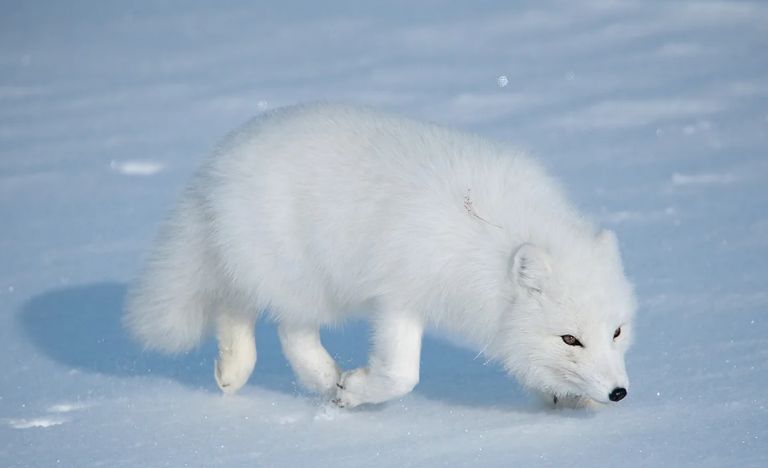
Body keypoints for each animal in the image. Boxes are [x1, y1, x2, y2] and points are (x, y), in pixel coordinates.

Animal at [124, 101, 636, 406]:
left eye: (616, 331)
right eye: (570, 339)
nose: (618, 393)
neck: (492, 236)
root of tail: (216, 165)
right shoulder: (400, 295)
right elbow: (401, 375)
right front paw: (354, 390)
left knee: (239, 304)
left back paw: (234, 372)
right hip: (309, 281)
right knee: (283, 325)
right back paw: (321, 379)